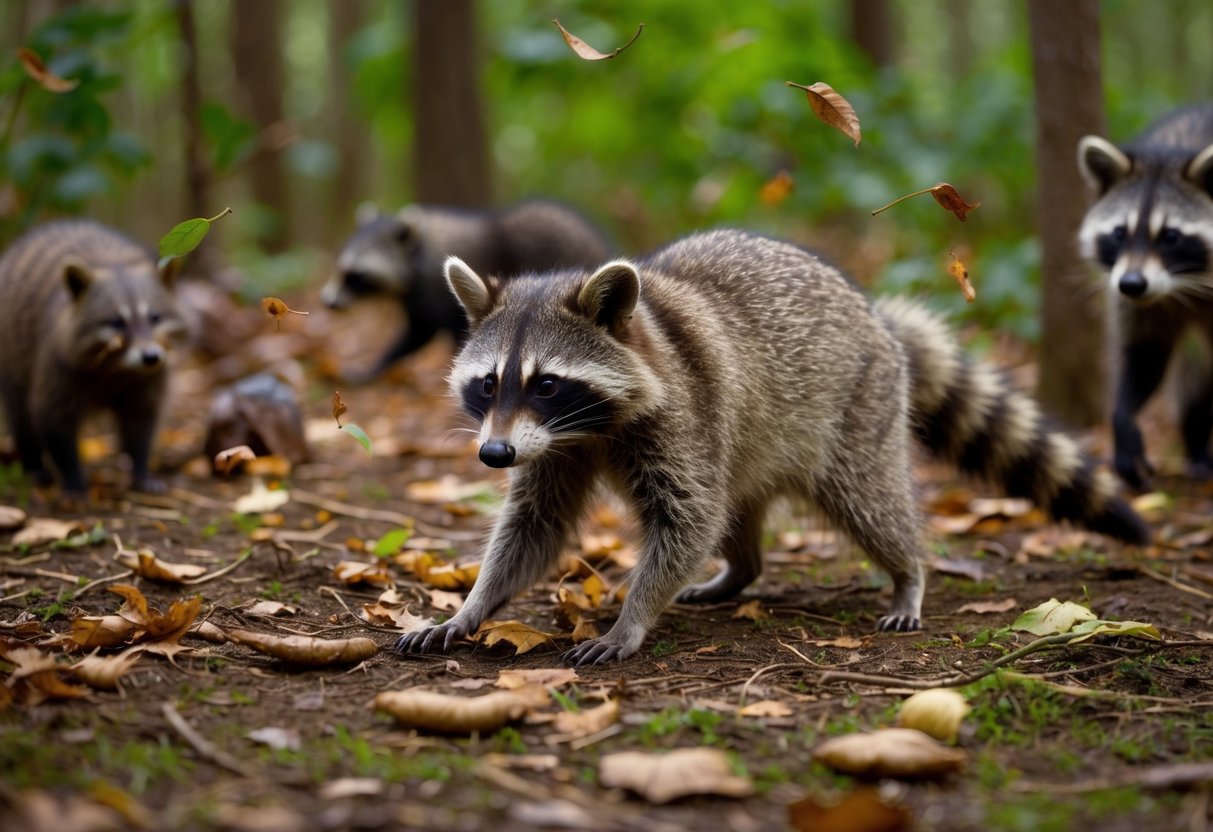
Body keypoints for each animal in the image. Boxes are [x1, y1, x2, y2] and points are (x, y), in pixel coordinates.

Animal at [0, 220, 185, 497]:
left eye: (154, 317)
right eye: (116, 322)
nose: (150, 357)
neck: (119, 367)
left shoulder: (150, 376)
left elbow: (141, 419)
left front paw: (141, 469)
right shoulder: (58, 364)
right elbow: (53, 417)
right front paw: (72, 476)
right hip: (11, 355)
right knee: (20, 414)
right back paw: (33, 464)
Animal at [322, 199, 612, 379]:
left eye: (354, 276)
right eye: (340, 267)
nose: (328, 302)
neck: (418, 250)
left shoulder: (436, 292)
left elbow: (424, 333)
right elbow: (420, 334)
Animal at [395, 229, 1148, 665]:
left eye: (547, 383)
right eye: (488, 383)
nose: (492, 457)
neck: (588, 426)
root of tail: (877, 317)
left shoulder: (681, 413)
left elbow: (686, 520)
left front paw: (633, 617)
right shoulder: (550, 448)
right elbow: (534, 527)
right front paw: (472, 605)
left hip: (855, 412)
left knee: (868, 500)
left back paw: (907, 571)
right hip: (748, 442)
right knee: (737, 509)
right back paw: (741, 570)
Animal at [1078, 105, 1213, 487]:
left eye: (1170, 236)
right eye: (1119, 233)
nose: (1132, 284)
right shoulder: (1141, 304)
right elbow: (1144, 356)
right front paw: (1123, 420)